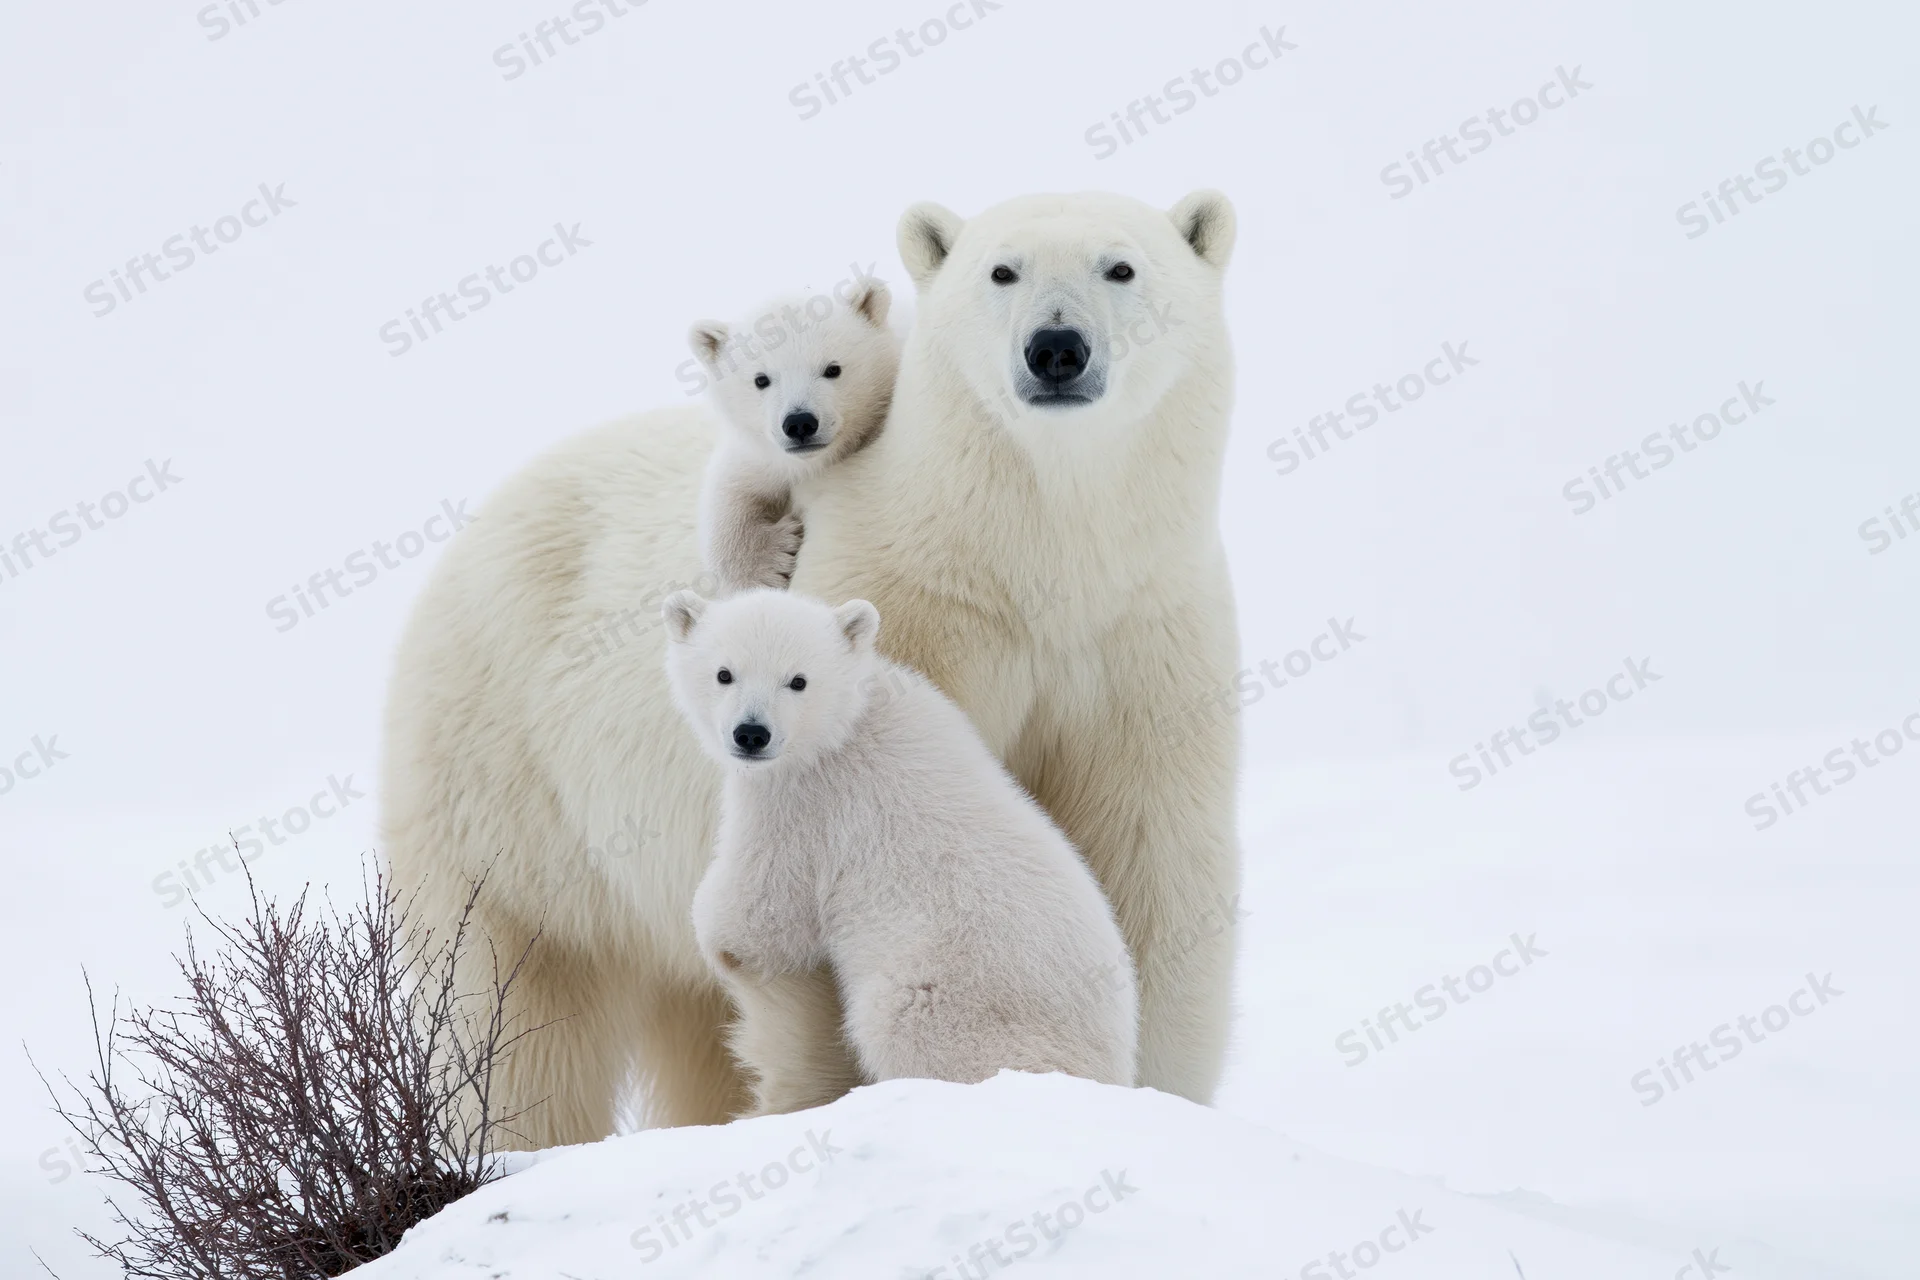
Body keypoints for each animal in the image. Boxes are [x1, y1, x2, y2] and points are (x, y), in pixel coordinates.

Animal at [664, 587, 1138, 1111]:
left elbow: (759, 918)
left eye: (798, 680)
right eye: (724, 673)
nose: (751, 734)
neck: (848, 727)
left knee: (903, 1018)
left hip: (956, 995)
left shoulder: (807, 808)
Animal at [688, 281, 900, 592]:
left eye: (833, 369)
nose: (800, 423)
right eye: (761, 379)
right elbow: (729, 490)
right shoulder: (762, 452)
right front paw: (768, 565)